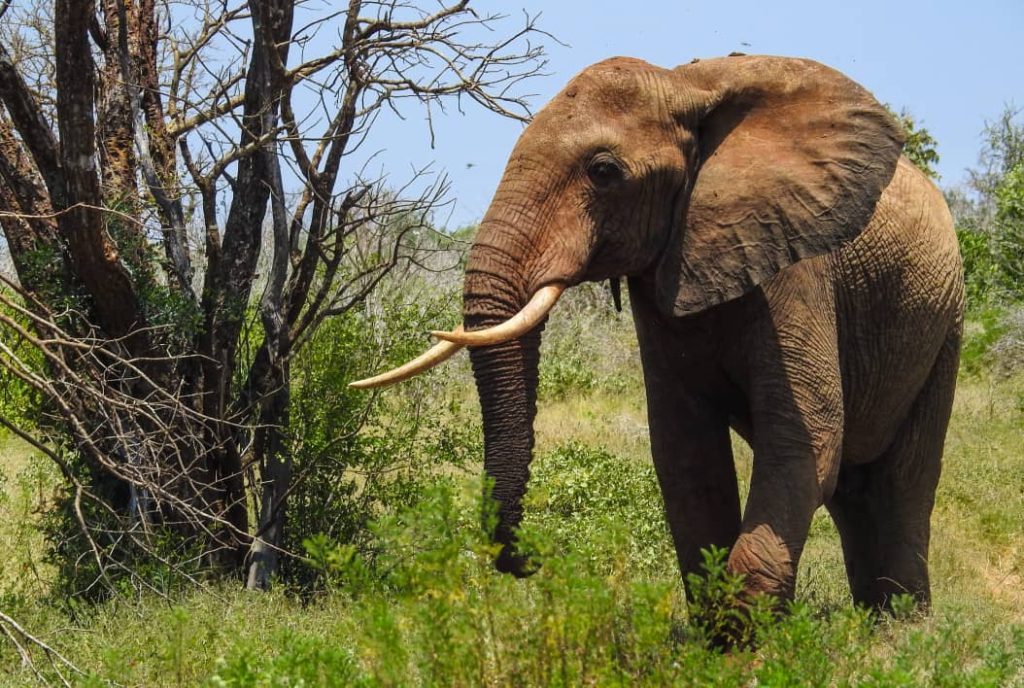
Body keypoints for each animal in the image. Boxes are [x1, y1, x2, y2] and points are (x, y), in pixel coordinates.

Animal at [353, 54, 964, 613]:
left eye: (603, 172)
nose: (529, 560)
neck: (683, 85)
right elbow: (686, 453)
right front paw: (720, 642)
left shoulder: (795, 268)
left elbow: (804, 440)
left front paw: (746, 645)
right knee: (855, 490)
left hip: (944, 319)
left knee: (904, 481)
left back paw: (902, 630)